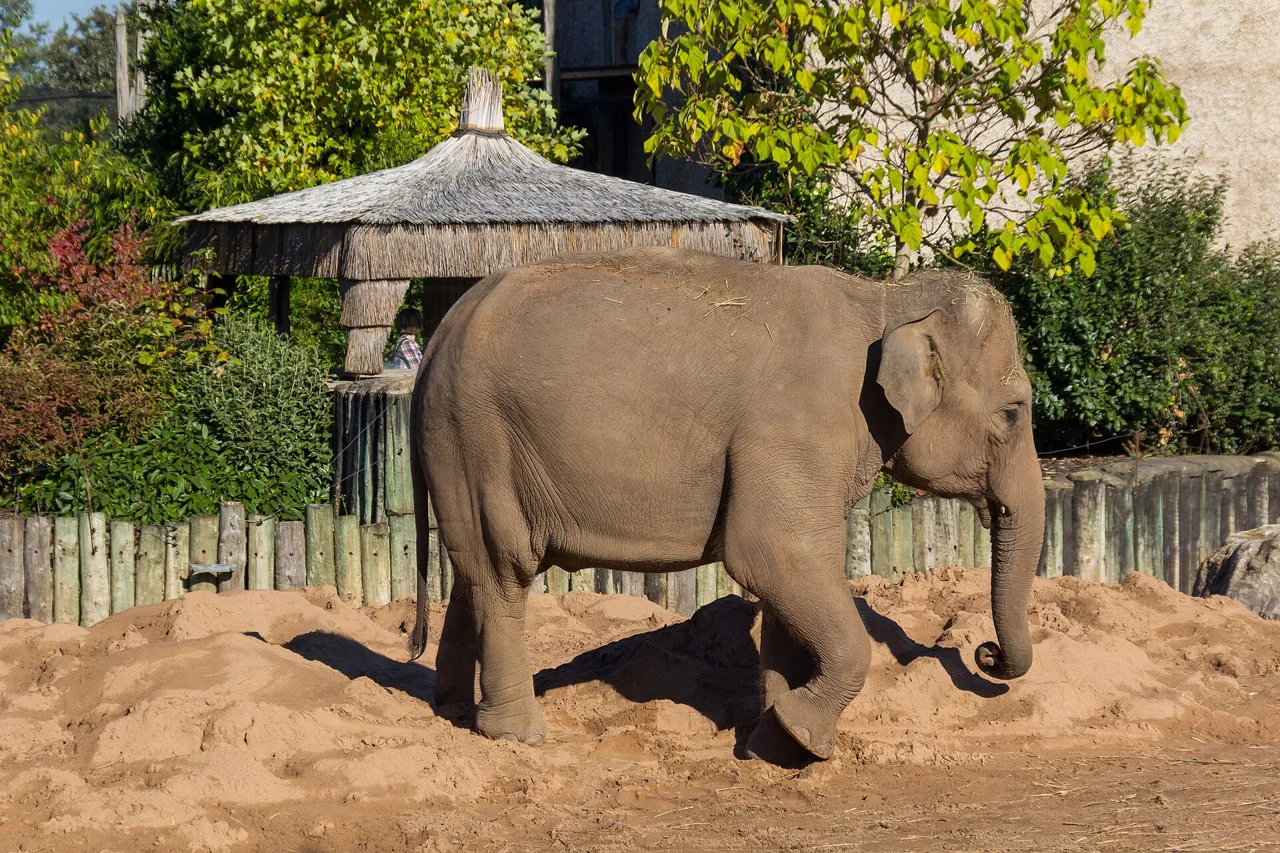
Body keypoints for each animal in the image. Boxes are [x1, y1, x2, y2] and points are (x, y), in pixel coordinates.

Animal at [407, 246, 1045, 761]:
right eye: (1014, 412)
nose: (985, 652)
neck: (885, 300)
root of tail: (441, 331)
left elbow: (794, 580)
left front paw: (773, 742)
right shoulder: (792, 432)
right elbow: (772, 554)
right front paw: (802, 738)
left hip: (462, 445)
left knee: (472, 571)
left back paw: (452, 713)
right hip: (476, 432)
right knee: (503, 569)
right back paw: (517, 736)